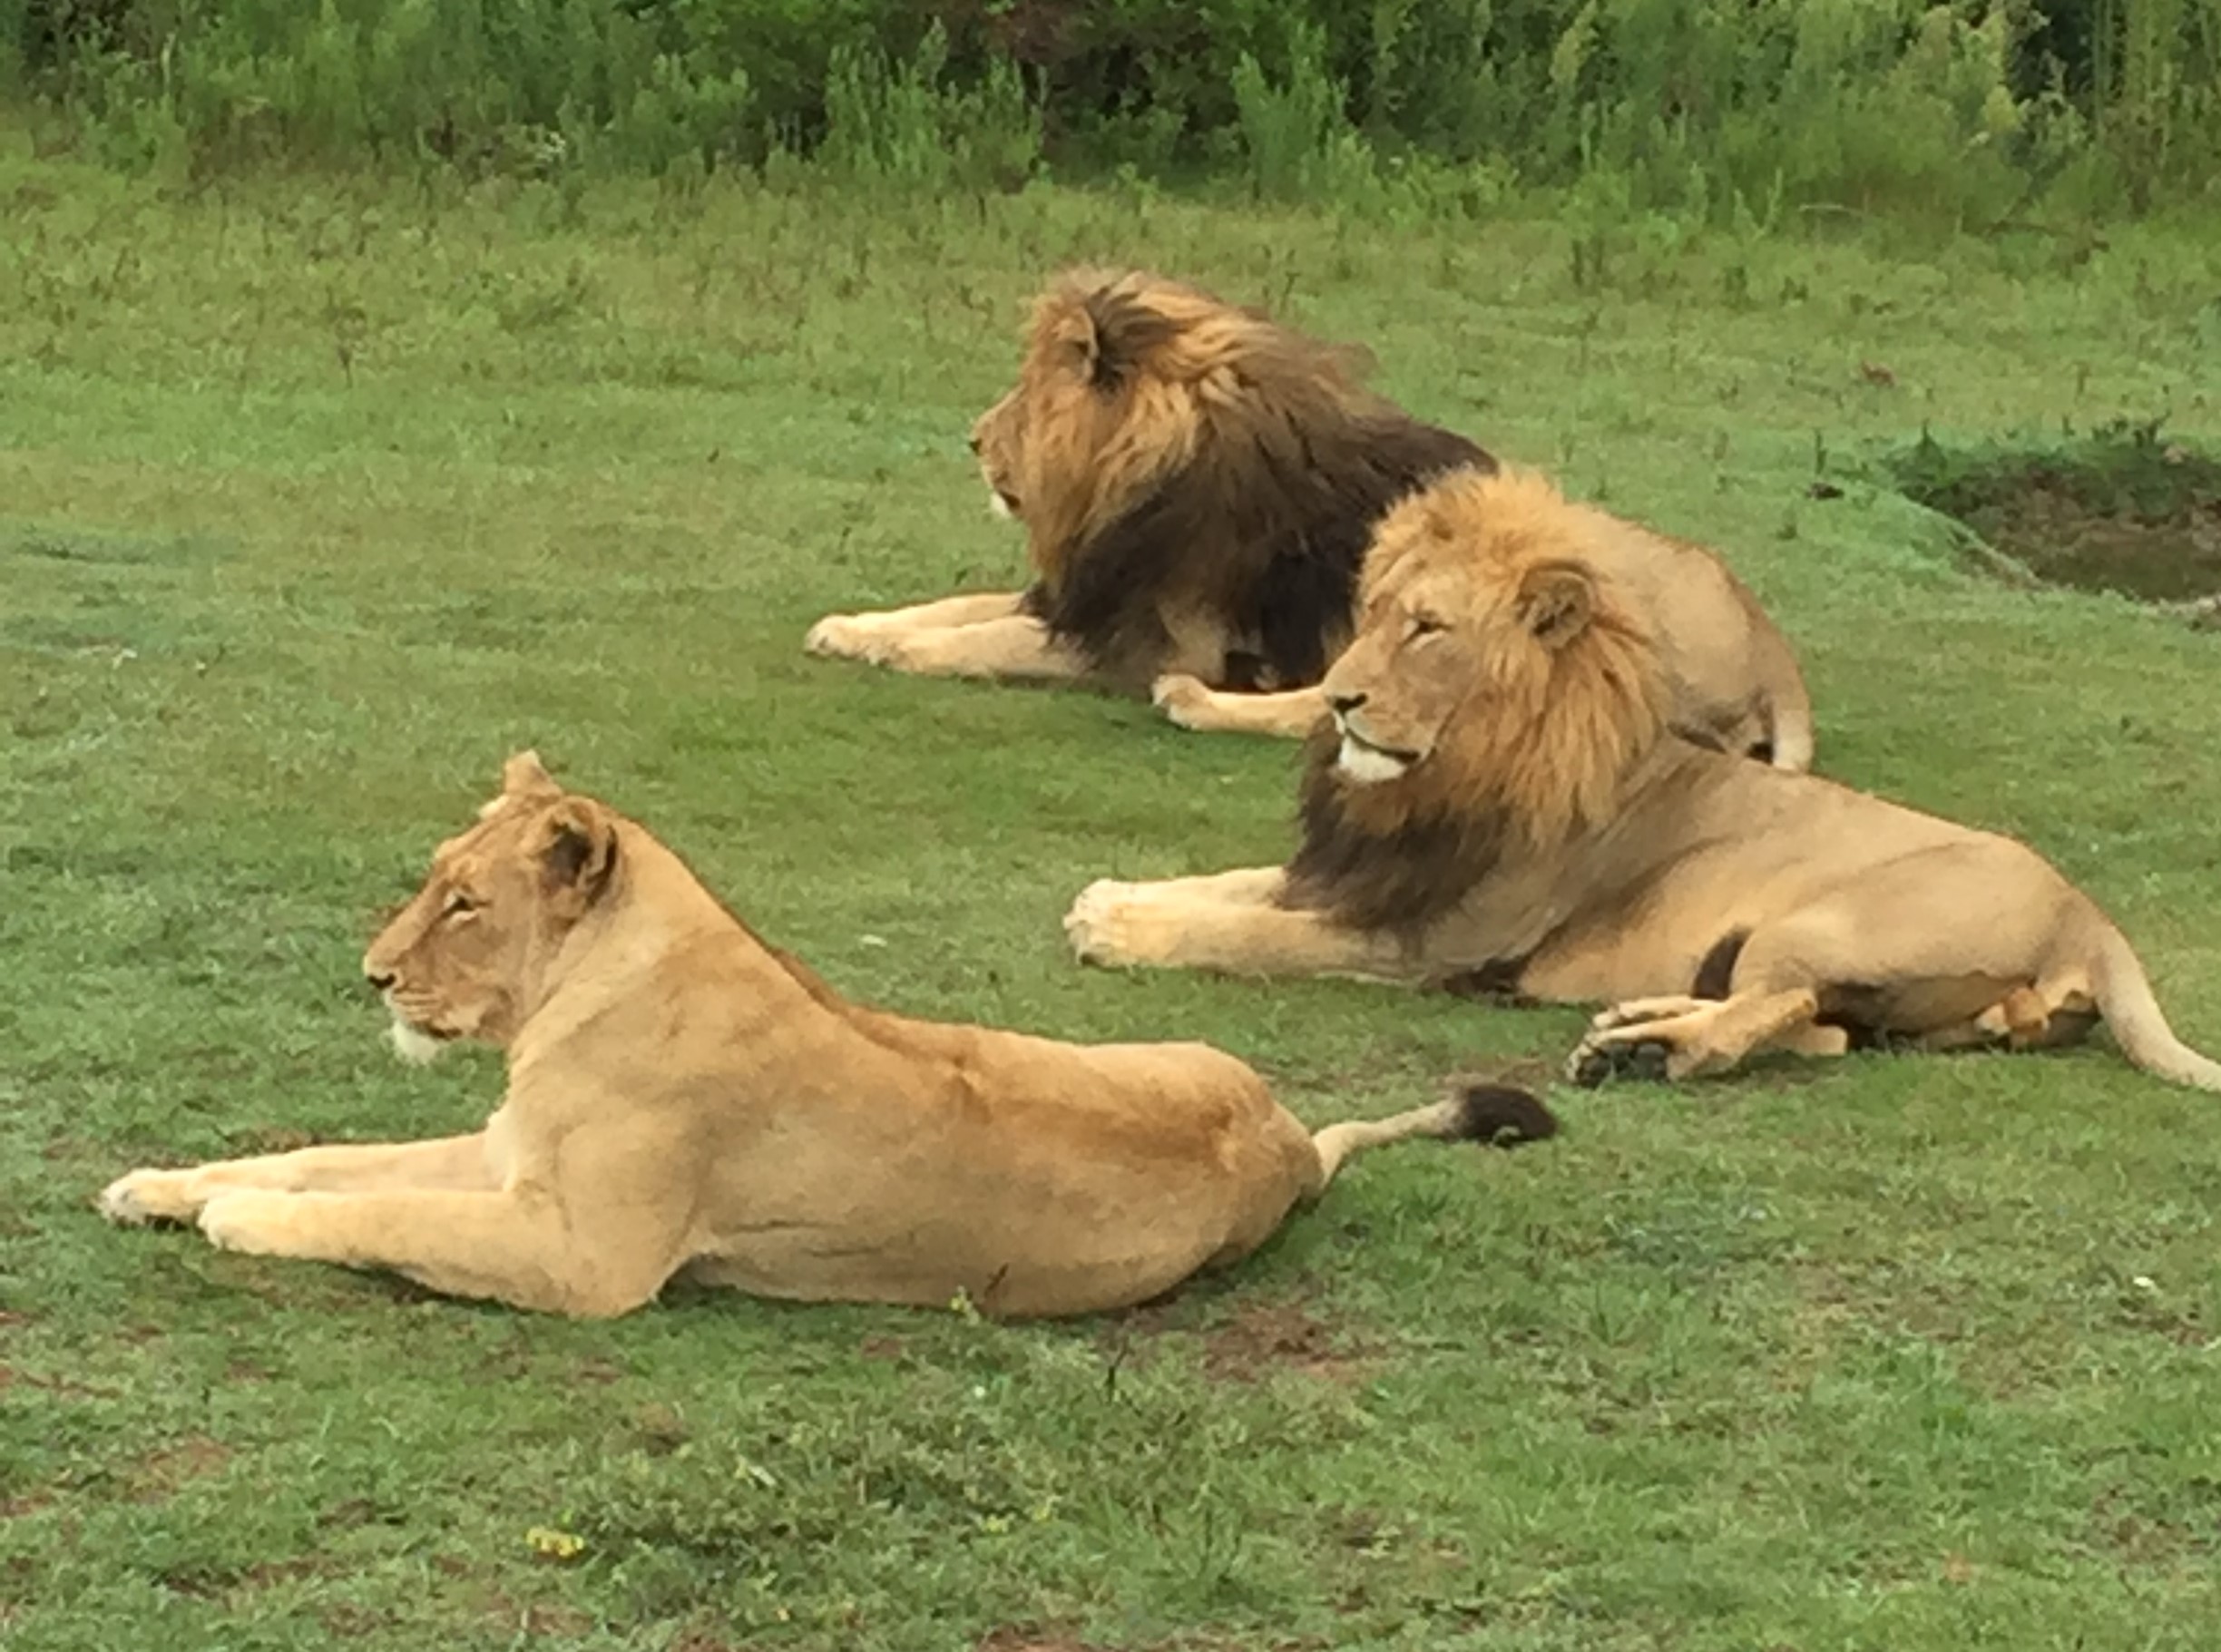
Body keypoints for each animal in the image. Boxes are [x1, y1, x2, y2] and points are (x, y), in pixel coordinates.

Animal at [97, 752, 1556, 1319]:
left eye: (464, 901)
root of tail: (1288, 1144)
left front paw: (237, 1222)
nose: (372, 974)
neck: (592, 988)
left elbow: (375, 1212)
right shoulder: (507, 1157)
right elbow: (319, 1156)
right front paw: (159, 1184)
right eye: (432, 877)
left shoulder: (586, 1260)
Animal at [802, 267, 1491, 697]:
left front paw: (905, 651)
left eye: (1026, 396)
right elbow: (958, 605)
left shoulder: (1162, 647)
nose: (973, 439)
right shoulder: (1084, 594)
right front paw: (851, 628)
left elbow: (997, 636)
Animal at [1062, 468, 2221, 1093]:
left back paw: (1643, 1052)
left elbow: (1245, 934)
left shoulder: (1427, 940)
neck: (1444, 775)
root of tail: (2086, 913)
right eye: (1374, 614)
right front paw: (1114, 897)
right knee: (1822, 1029)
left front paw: (1119, 930)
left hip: (1825, 923)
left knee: (1779, 1014)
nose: (1338, 698)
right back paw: (1640, 1023)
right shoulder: (1356, 873)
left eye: (1427, 629)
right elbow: (1232, 887)